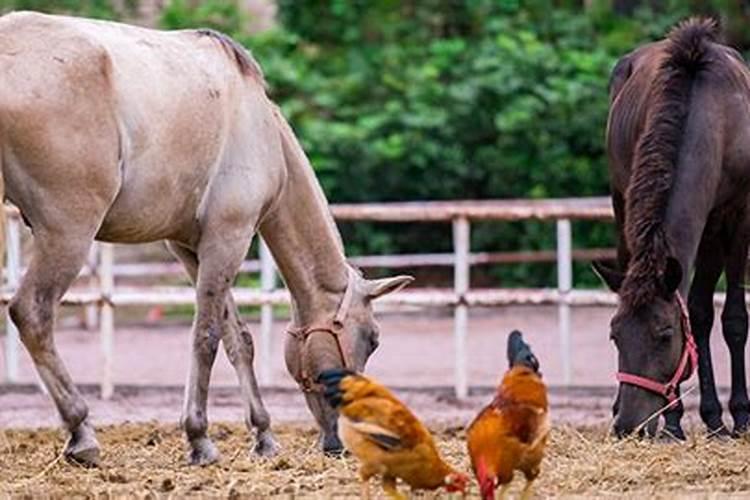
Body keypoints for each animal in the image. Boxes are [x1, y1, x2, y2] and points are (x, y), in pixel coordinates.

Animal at [0, 10, 412, 464]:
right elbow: (207, 336)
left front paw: (263, 435)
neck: (260, 126)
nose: (341, 443)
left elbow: (239, 339)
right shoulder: (228, 238)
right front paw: (199, 438)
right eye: (372, 339)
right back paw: (81, 432)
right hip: (68, 234)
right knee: (32, 313)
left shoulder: (190, 248)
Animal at [596, 18, 750, 438]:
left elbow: (730, 318)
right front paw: (676, 419)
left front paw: (739, 416)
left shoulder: (735, 217)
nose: (629, 425)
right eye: (614, 335)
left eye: (664, 335)